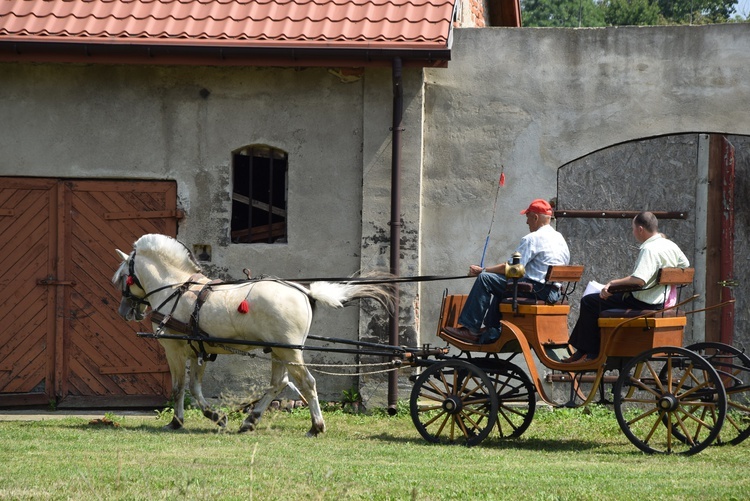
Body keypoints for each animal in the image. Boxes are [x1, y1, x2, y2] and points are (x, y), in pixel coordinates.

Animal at [113, 233, 394, 434]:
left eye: (124, 276)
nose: (124, 311)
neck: (177, 289)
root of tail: (304, 291)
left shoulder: (174, 349)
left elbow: (178, 387)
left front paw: (176, 421)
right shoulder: (198, 349)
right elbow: (194, 387)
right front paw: (216, 416)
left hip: (290, 352)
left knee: (306, 382)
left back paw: (316, 426)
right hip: (279, 350)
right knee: (278, 383)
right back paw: (251, 419)